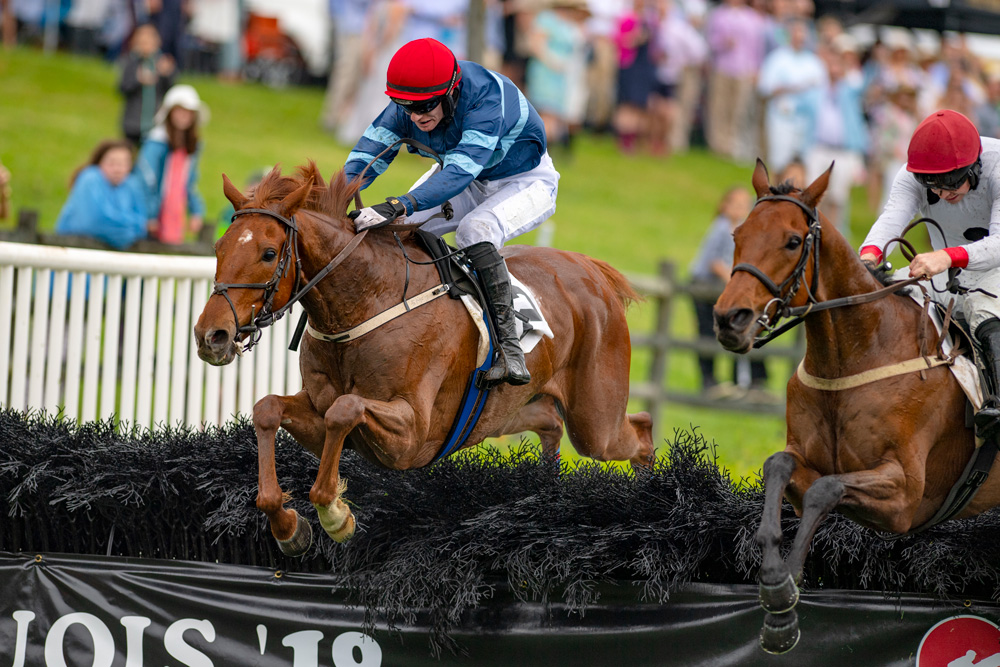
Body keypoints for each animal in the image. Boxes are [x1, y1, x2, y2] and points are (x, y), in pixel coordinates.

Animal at [193, 166, 656, 560]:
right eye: (219, 247)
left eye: (269, 253)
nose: (210, 336)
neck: (365, 301)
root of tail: (591, 269)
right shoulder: (318, 410)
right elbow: (268, 408)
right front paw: (288, 526)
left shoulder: (412, 435)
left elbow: (346, 410)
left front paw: (336, 516)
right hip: (506, 411)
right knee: (550, 421)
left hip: (595, 419)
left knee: (640, 428)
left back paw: (649, 499)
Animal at [712, 163, 1000, 656]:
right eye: (736, 234)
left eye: (793, 241)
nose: (730, 319)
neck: (856, 353)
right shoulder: (805, 459)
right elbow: (779, 466)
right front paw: (774, 588)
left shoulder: (905, 498)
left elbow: (825, 489)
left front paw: (784, 594)